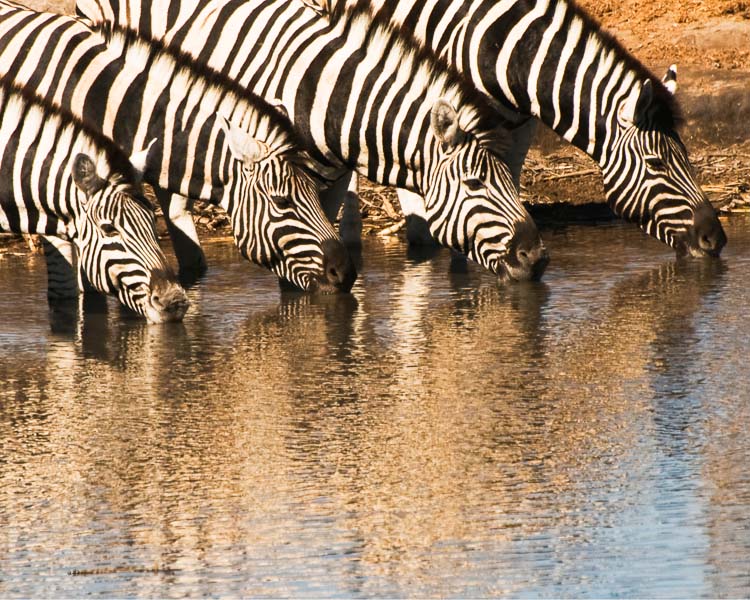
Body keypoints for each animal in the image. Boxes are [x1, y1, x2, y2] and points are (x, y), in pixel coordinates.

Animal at [288, 0, 728, 255]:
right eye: (656, 164)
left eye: (686, 157)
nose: (716, 239)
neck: (509, 49)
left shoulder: (519, 127)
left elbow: (505, 191)